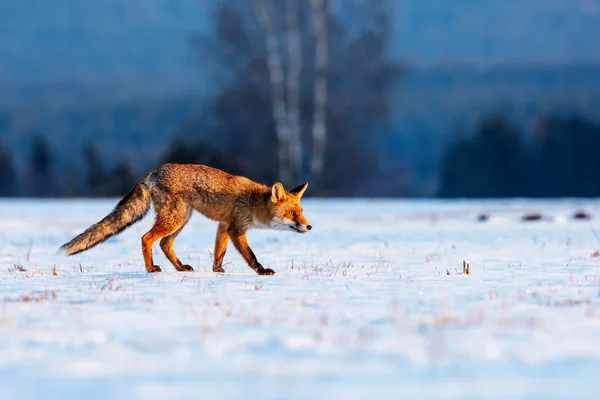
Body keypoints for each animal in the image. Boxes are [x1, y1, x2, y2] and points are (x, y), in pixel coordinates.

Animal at [58, 163, 312, 276]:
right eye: (292, 214)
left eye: (300, 211)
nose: (309, 226)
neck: (252, 202)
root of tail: (153, 172)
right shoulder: (237, 229)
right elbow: (250, 255)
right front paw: (261, 271)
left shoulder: (224, 226)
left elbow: (219, 253)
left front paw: (217, 271)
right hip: (176, 218)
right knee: (147, 238)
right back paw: (151, 268)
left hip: (182, 219)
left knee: (164, 243)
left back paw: (180, 267)